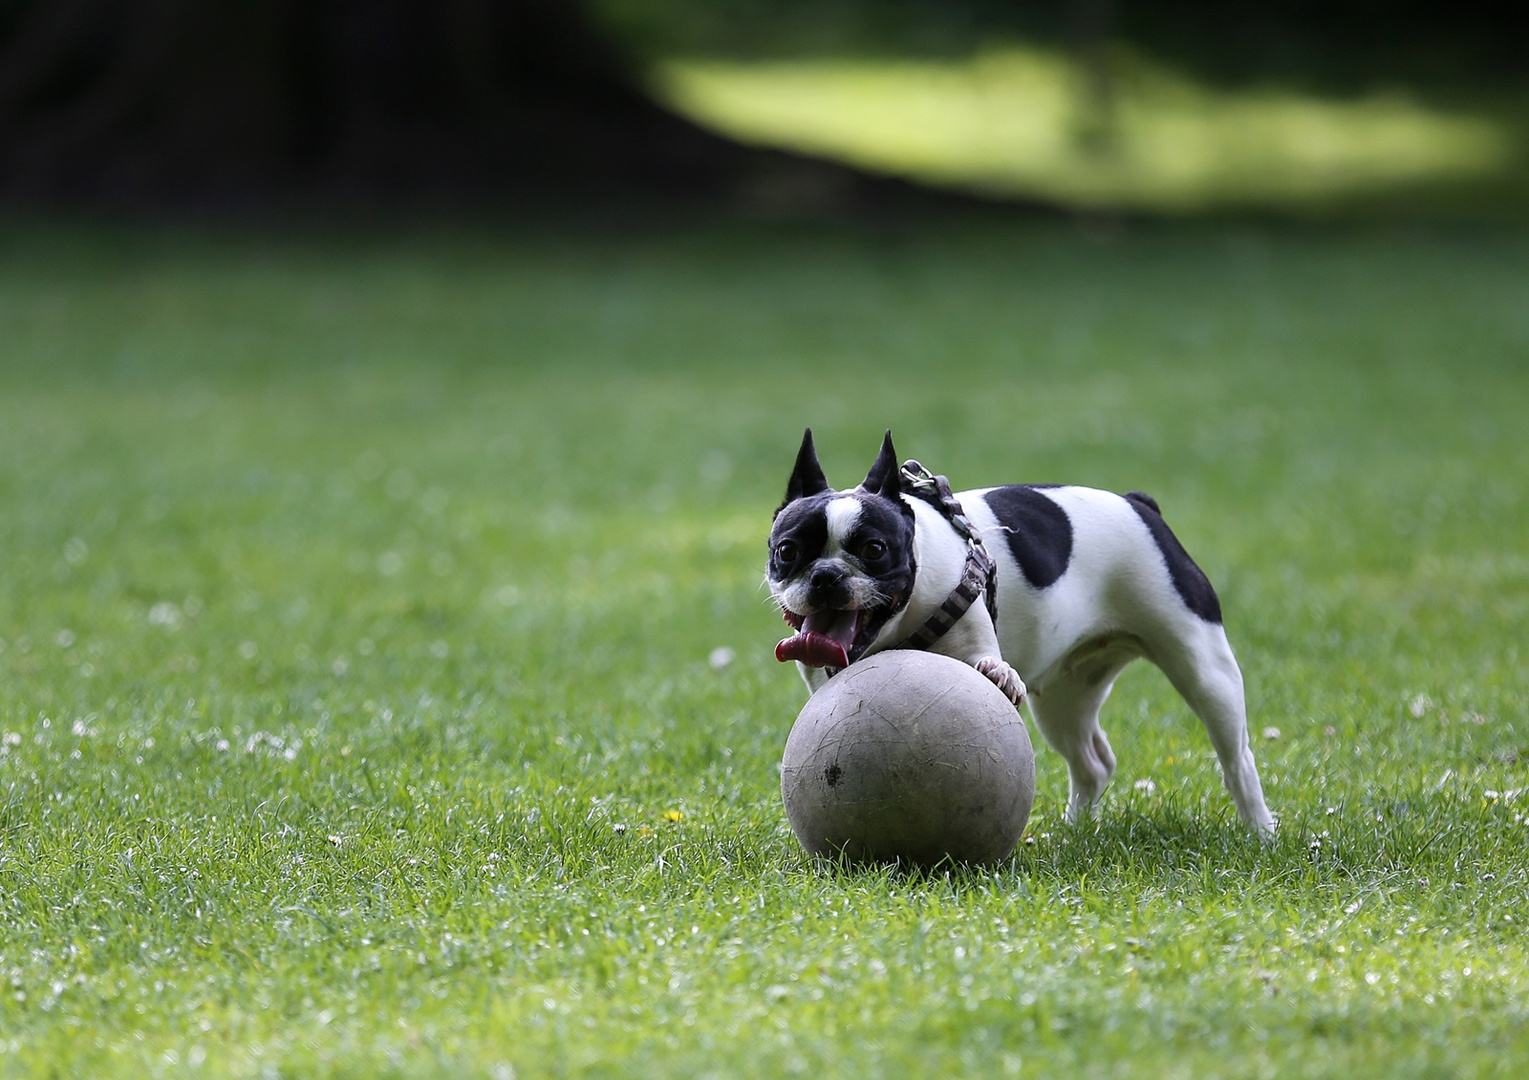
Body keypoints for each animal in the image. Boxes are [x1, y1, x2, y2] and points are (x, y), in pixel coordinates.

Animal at [764, 428, 1278, 832]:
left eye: (874, 549)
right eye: (787, 552)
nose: (826, 575)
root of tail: (1139, 504)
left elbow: (985, 663)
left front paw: (998, 673)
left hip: (1203, 667)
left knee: (1237, 758)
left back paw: (1259, 832)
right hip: (1066, 699)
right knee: (1092, 763)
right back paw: (1074, 831)